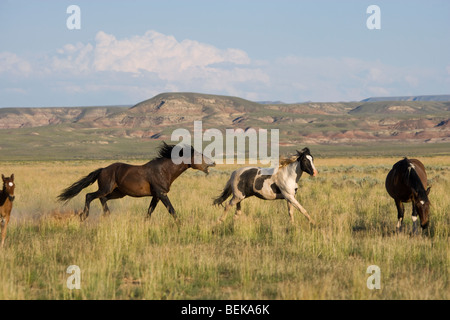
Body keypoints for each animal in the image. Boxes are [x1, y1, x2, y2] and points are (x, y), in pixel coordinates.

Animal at [57, 143, 215, 222]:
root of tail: (102, 170)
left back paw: (107, 215)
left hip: (118, 193)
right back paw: (84, 216)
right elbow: (172, 210)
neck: (164, 170)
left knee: (102, 199)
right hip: (106, 188)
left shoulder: (156, 196)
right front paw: (180, 224)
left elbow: (149, 212)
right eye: (199, 156)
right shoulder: (161, 194)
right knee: (89, 196)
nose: (213, 163)